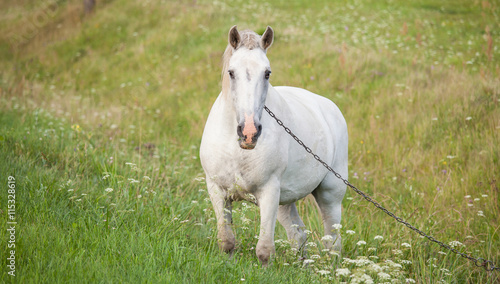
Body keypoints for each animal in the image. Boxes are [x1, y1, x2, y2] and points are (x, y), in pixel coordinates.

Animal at [199, 26, 348, 266]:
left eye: (267, 73)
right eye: (231, 72)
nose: (249, 132)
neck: (236, 149)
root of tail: (329, 107)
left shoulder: (269, 191)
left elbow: (264, 250)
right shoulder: (217, 190)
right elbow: (227, 241)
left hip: (330, 194)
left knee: (332, 241)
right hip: (285, 200)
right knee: (299, 234)